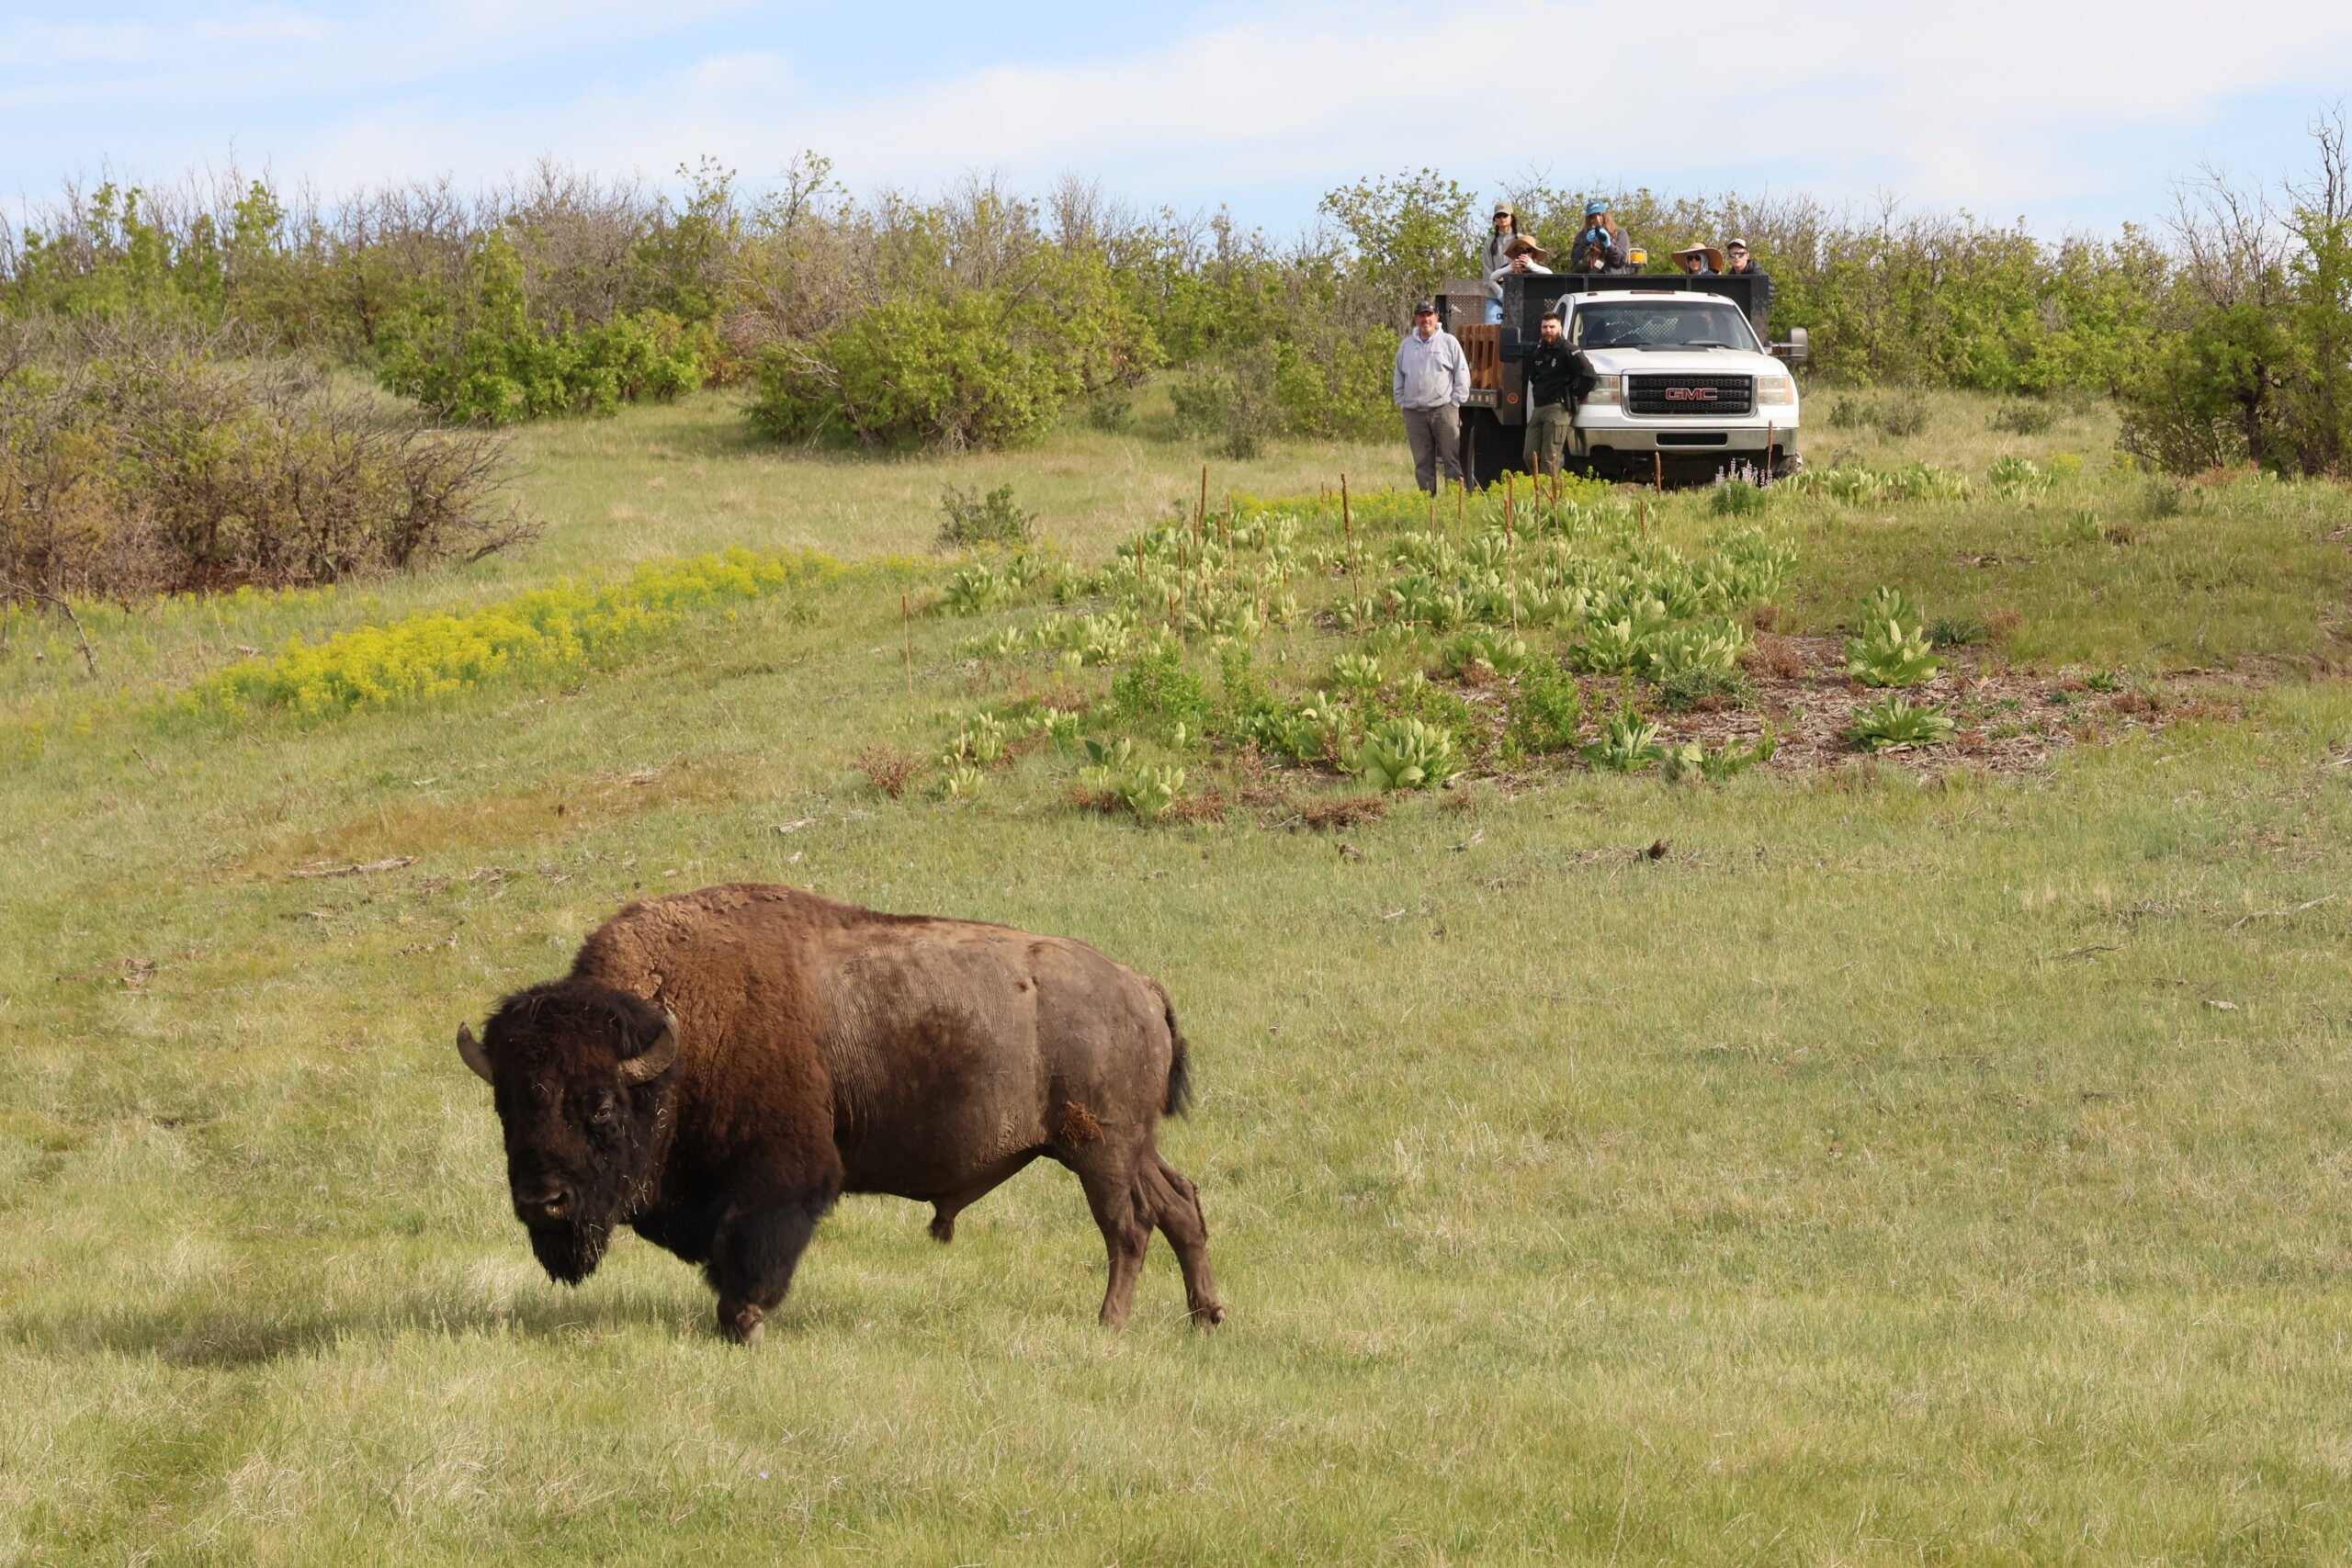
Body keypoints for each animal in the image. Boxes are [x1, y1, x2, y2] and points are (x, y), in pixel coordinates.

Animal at [454, 883, 1224, 1341]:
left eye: (603, 1107)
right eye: (507, 1106)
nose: (543, 1200)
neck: (681, 1040)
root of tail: (1139, 985)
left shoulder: (781, 1176)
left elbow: (750, 1247)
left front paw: (742, 1323)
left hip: (1099, 1150)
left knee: (1128, 1225)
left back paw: (1110, 1324)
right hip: (1132, 1146)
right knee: (1180, 1203)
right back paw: (1205, 1316)